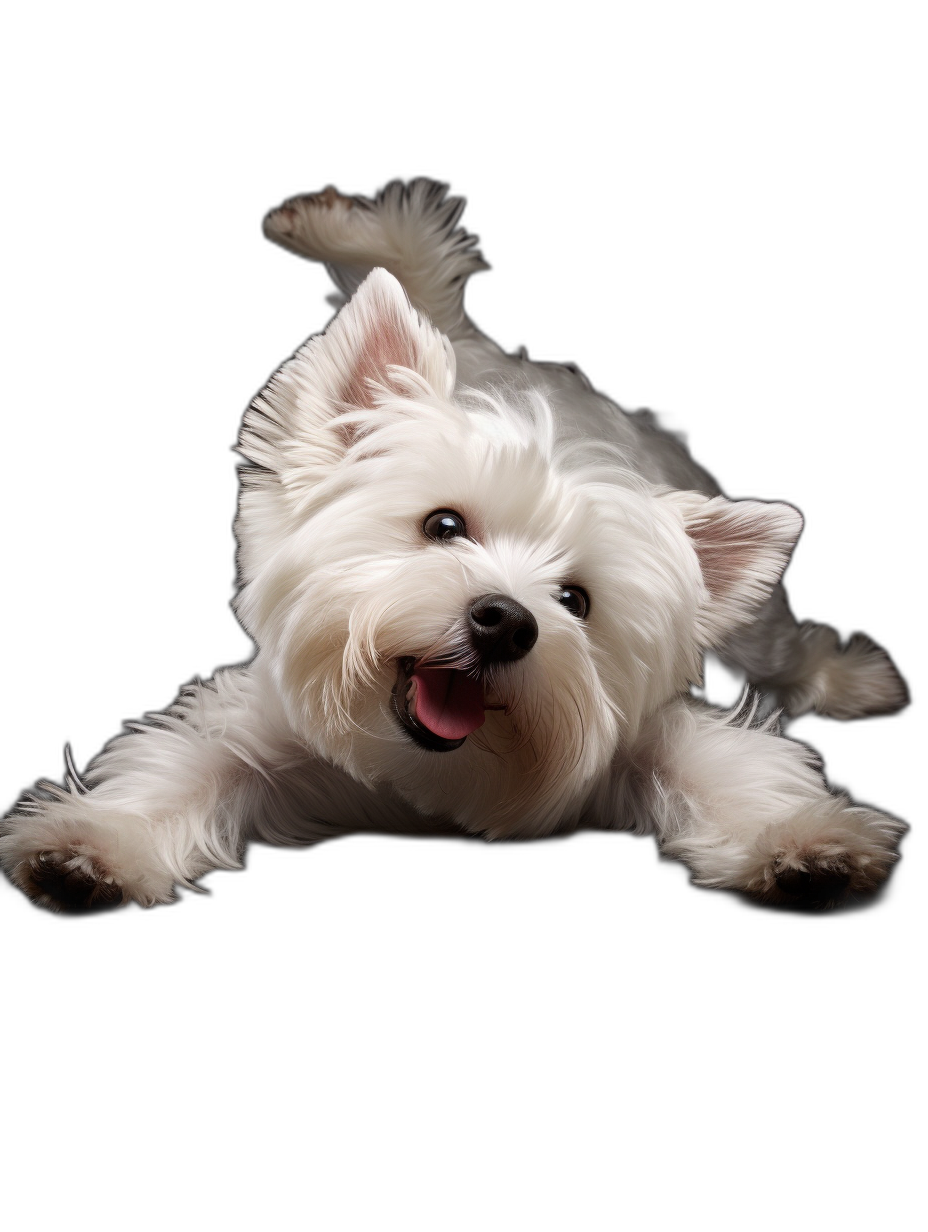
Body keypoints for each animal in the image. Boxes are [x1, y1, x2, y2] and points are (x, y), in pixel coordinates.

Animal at [0, 184, 907, 916]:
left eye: (576, 600)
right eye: (442, 526)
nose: (506, 622)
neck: (430, 772)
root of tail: (494, 355)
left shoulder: (634, 738)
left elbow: (730, 763)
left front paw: (807, 846)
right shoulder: (263, 729)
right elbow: (178, 766)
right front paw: (93, 848)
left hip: (747, 614)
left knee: (781, 649)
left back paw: (854, 680)